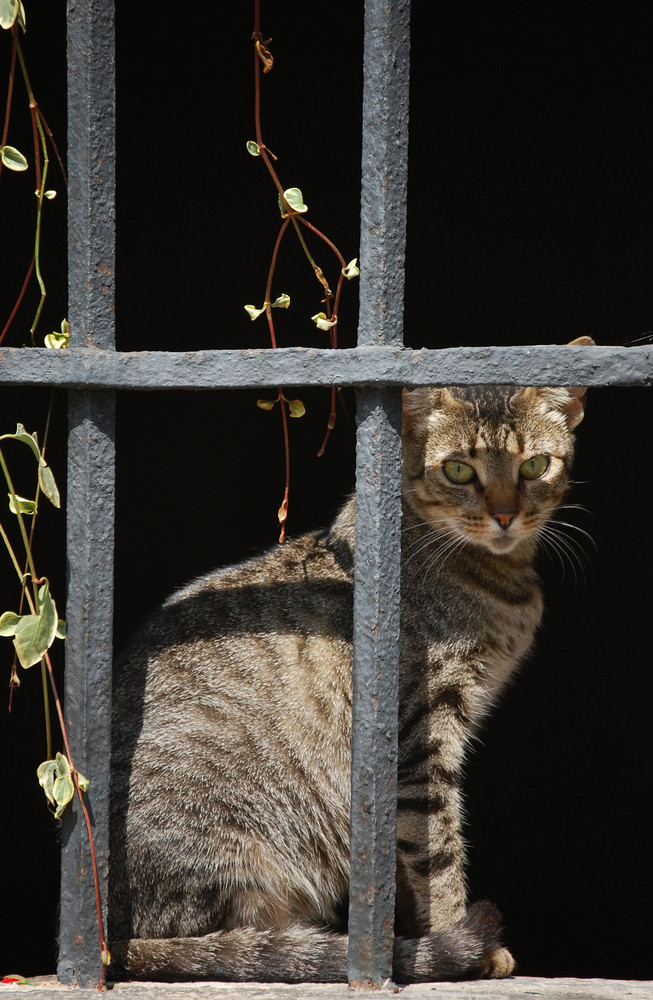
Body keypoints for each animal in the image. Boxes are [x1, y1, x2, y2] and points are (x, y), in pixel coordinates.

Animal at [108, 340, 592, 980]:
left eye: (535, 466)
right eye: (459, 470)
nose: (506, 514)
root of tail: (113, 933)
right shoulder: (422, 735)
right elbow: (439, 854)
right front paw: (463, 946)